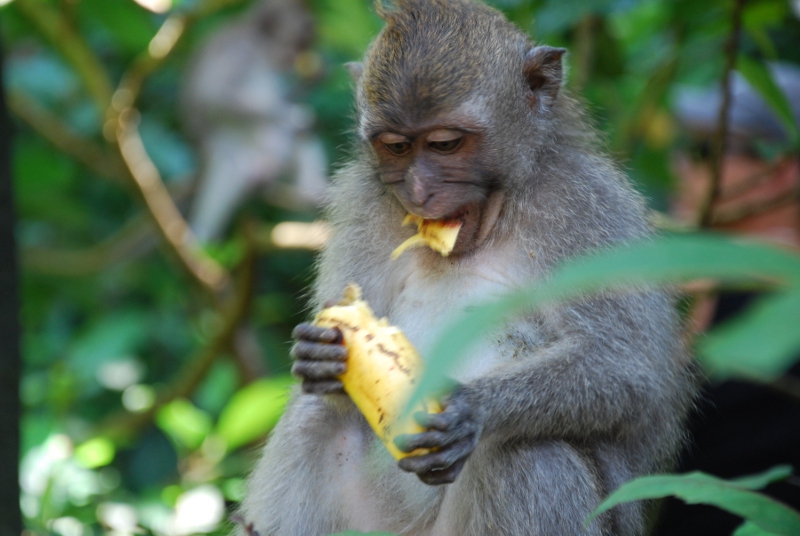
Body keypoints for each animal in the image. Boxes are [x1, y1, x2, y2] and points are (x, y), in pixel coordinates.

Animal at [239, 1, 695, 534]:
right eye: (396, 147)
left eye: (445, 144)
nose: (419, 193)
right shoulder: (364, 203)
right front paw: (317, 356)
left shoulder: (586, 209)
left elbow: (628, 371)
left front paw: (472, 409)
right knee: (317, 416)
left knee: (527, 453)